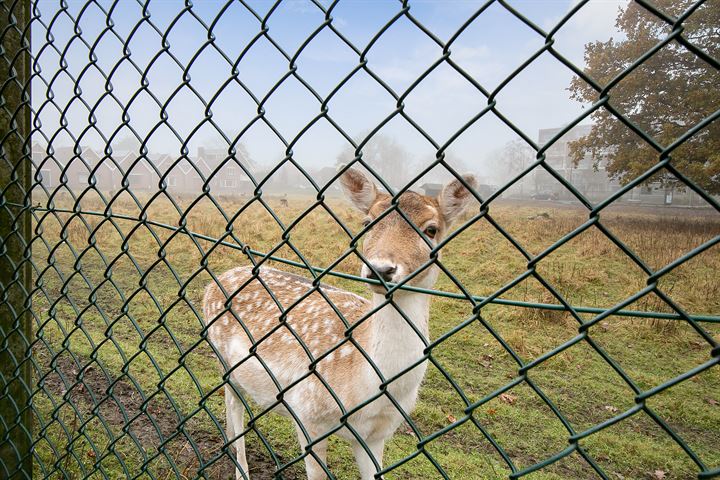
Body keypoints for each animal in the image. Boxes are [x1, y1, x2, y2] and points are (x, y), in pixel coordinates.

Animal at [202, 167, 478, 478]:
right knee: (234, 403)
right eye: (367, 222)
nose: (380, 269)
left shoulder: (378, 433)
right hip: (223, 358)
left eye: (431, 229)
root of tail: (212, 284)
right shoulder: (308, 414)